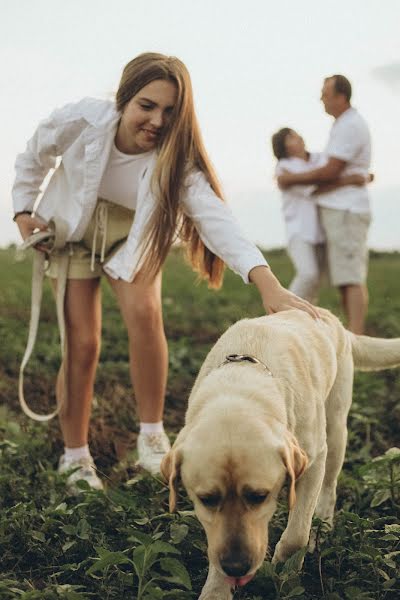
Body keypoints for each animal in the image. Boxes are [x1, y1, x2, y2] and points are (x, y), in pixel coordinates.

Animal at [160, 310, 400, 600]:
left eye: (259, 496)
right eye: (206, 499)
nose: (237, 566)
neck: (240, 384)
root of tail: (331, 318)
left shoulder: (313, 462)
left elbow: (297, 535)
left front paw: (285, 573)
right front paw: (216, 591)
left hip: (336, 430)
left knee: (329, 488)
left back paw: (323, 526)